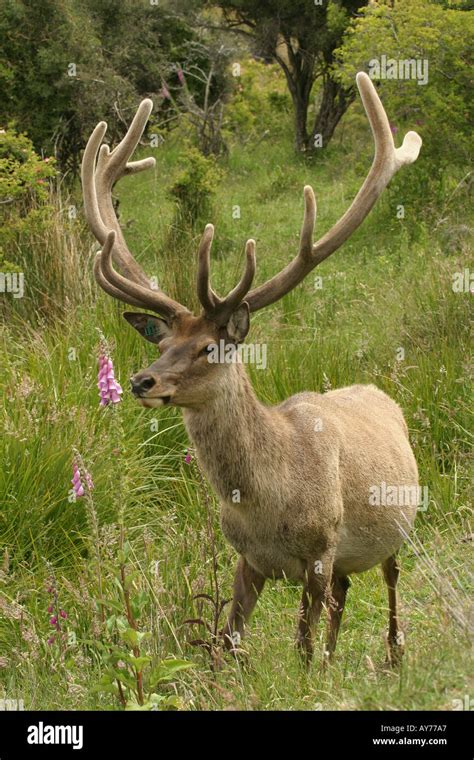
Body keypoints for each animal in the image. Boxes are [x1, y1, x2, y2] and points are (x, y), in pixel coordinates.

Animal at [80, 71, 422, 664]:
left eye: (208, 348)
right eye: (164, 340)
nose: (142, 380)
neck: (267, 502)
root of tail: (378, 393)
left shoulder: (320, 550)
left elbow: (301, 647)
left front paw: (309, 673)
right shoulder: (246, 558)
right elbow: (226, 639)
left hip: (394, 532)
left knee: (390, 584)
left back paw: (395, 655)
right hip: (344, 561)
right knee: (344, 595)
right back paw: (339, 657)